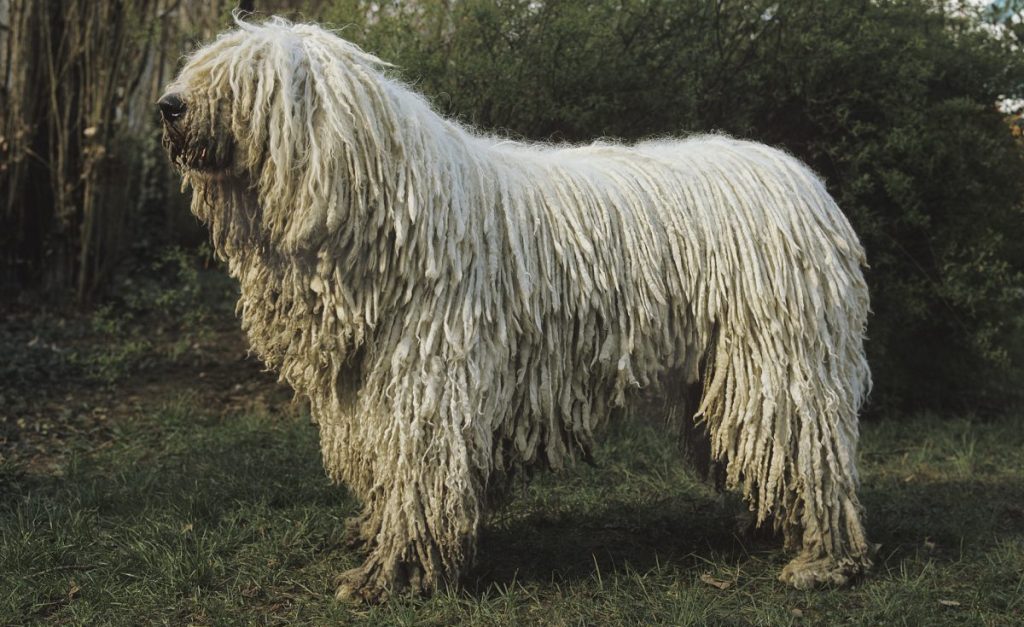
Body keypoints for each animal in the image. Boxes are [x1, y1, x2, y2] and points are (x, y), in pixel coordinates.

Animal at [157, 17, 872, 598]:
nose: (168, 105)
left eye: (246, 79)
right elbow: (386, 471)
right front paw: (374, 534)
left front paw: (391, 573)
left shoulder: (428, 381)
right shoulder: (370, 389)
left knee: (812, 451)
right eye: (202, 66)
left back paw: (823, 559)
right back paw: (773, 525)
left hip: (779, 357)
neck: (392, 214)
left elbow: (419, 474)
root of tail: (806, 184)